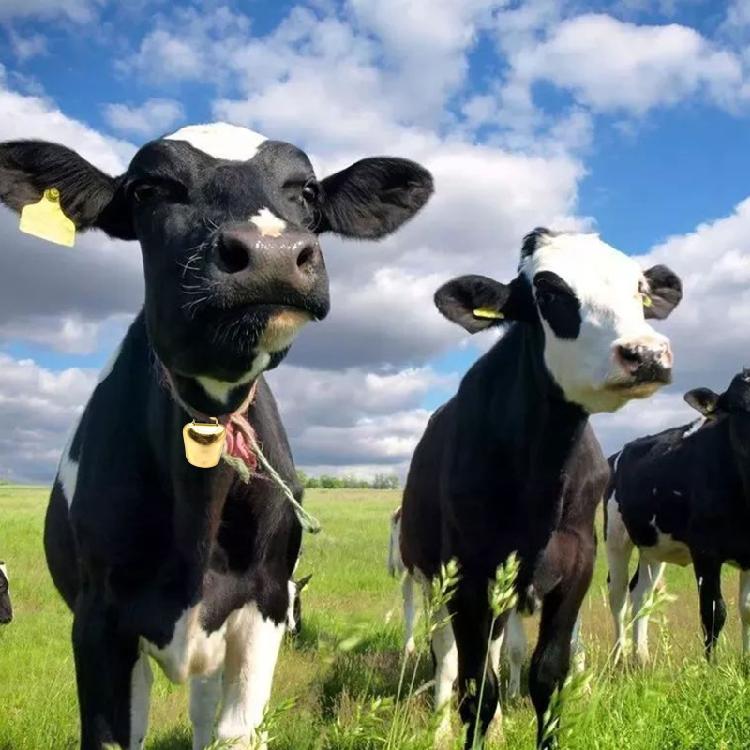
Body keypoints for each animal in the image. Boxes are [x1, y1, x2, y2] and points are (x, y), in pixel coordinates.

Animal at [0, 122, 433, 750]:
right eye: (149, 189)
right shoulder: (98, 620)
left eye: (306, 192)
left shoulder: (264, 604)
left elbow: (236, 733)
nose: (272, 254)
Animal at [399, 228, 682, 749]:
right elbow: (476, 688)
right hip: (430, 579)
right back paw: (441, 725)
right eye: (549, 294)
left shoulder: (576, 565)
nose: (647, 353)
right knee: (446, 656)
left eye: (639, 289)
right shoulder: (467, 574)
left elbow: (547, 676)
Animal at [606, 370, 750, 665]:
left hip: (653, 546)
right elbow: (713, 611)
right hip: (615, 537)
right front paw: (711, 666)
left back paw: (642, 658)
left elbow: (747, 609)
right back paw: (617, 658)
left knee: (641, 594)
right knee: (618, 596)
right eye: (738, 409)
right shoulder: (705, 552)